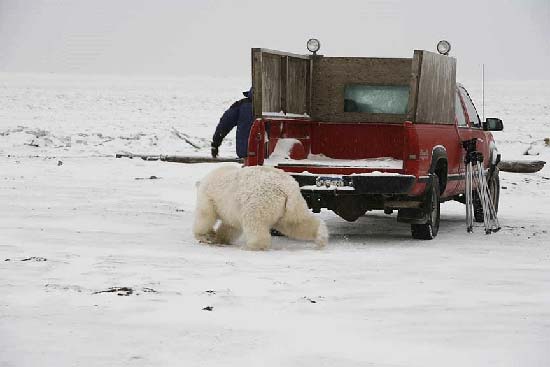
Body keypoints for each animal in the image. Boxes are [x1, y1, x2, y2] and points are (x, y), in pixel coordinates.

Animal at [195, 166, 328, 250]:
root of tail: (287, 189)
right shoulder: (231, 210)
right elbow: (230, 226)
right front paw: (218, 238)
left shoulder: (208, 197)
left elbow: (205, 215)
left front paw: (205, 236)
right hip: (292, 206)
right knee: (296, 223)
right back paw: (321, 237)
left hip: (258, 202)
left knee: (255, 223)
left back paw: (253, 246)